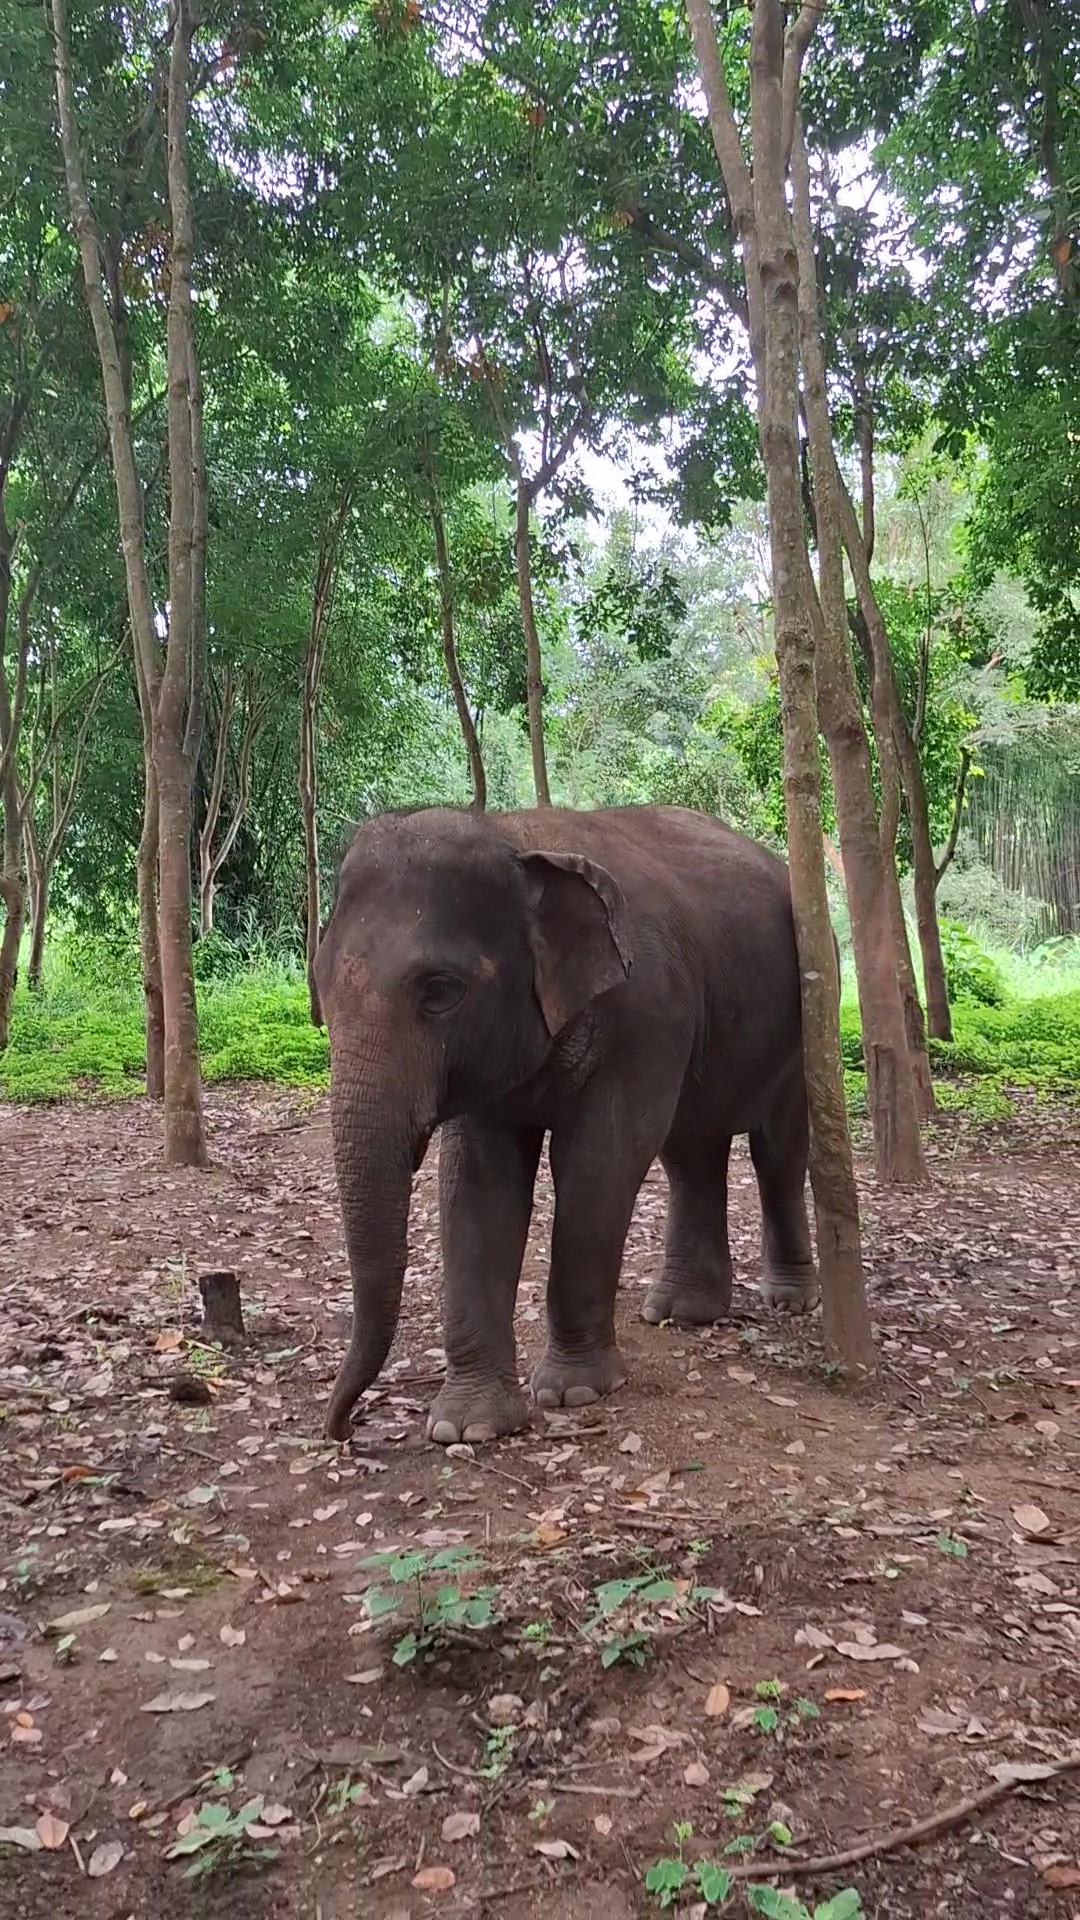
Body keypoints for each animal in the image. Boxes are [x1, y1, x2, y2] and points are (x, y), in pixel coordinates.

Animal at [313, 804, 819, 1446]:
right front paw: (469, 1427)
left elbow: (600, 1161)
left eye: (440, 991)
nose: (343, 1428)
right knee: (690, 1152)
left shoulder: (647, 1013)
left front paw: (573, 1392)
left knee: (777, 1150)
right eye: (319, 990)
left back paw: (789, 1301)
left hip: (807, 1014)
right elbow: (477, 1185)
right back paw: (681, 1313)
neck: (515, 837)